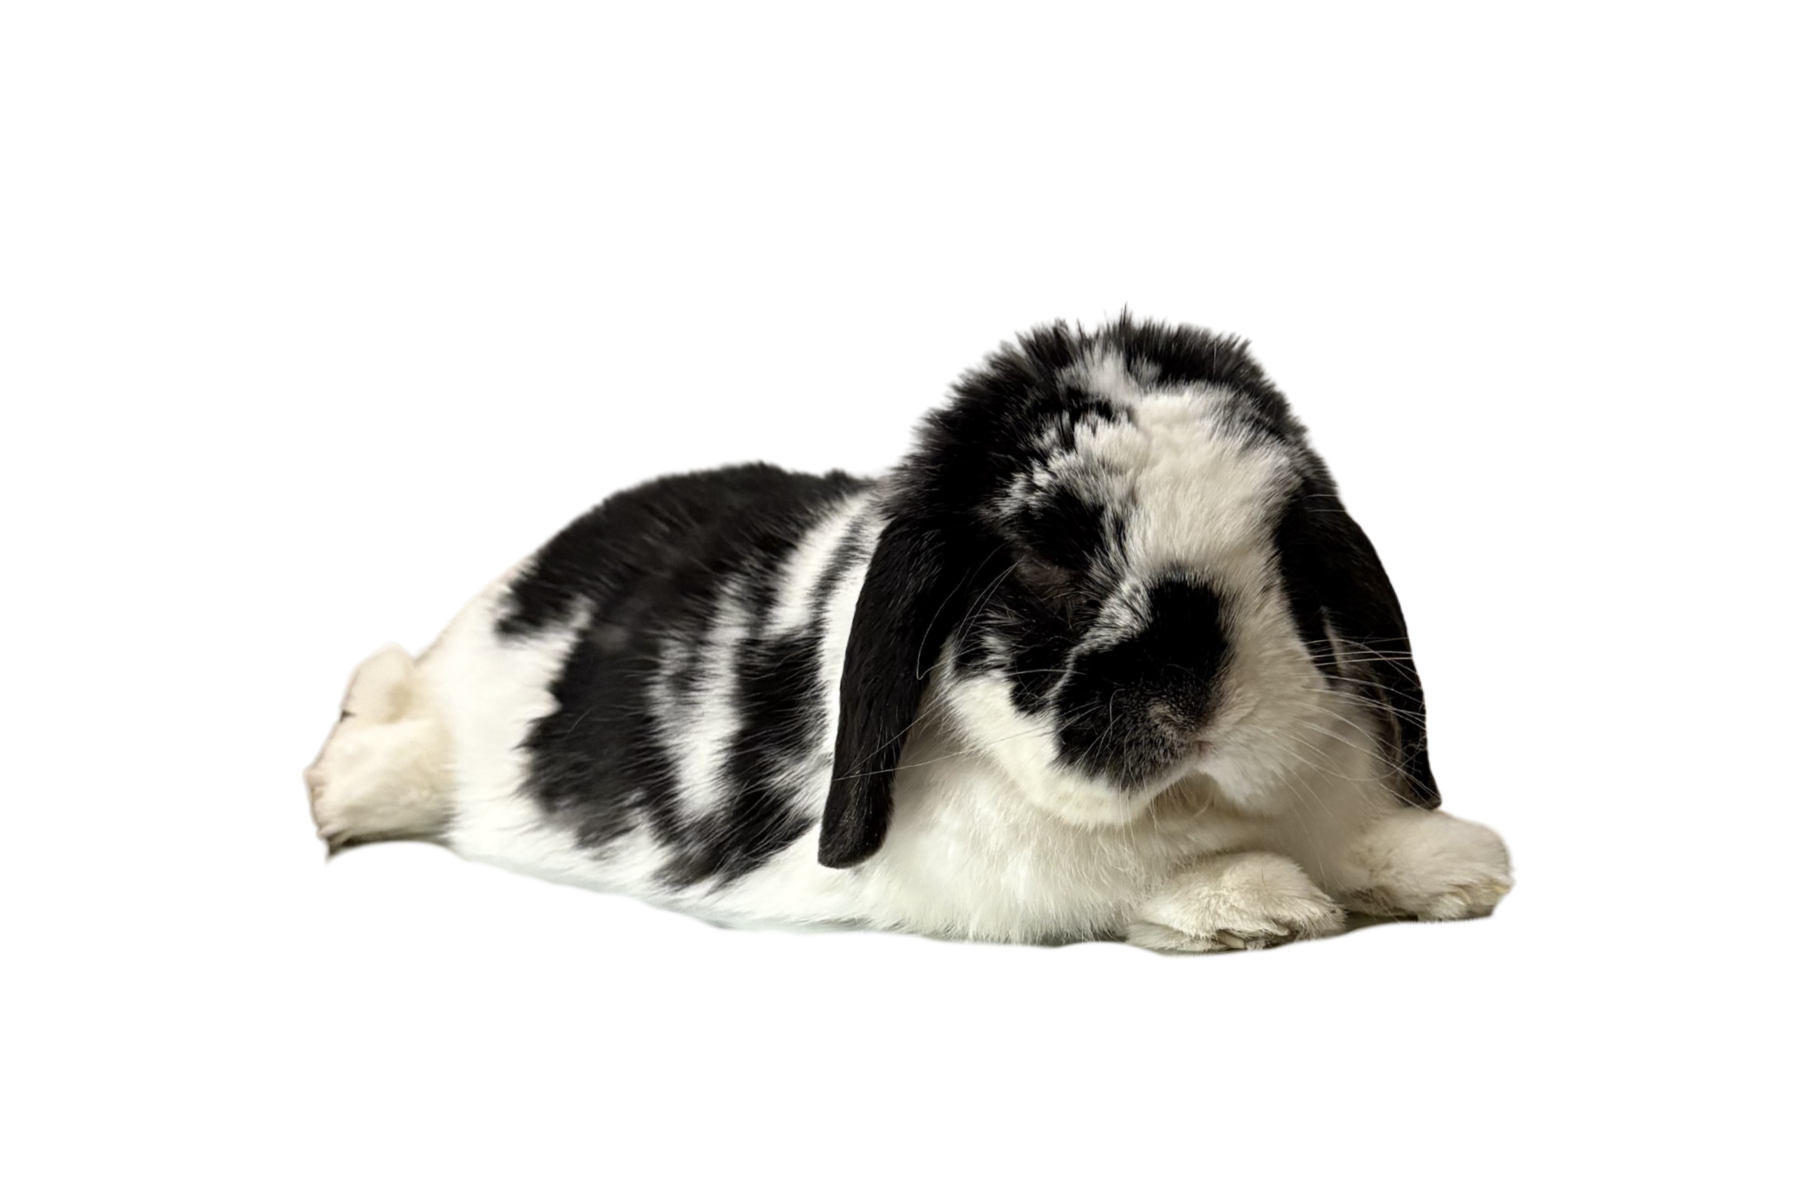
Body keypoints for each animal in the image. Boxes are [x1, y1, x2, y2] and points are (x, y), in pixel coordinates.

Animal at [302, 304, 1517, 956]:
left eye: (1286, 552)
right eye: (1040, 559)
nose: (1197, 695)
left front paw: (1448, 867)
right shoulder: (975, 862)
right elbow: (1102, 865)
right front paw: (1257, 900)